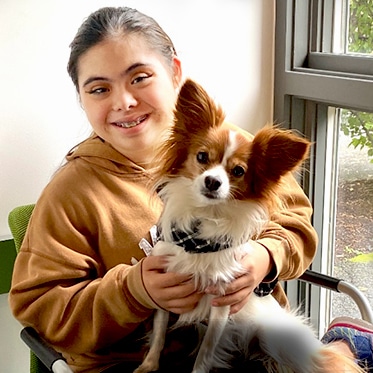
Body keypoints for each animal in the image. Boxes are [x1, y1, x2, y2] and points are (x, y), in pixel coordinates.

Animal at [134, 79, 364, 372]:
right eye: (202, 157)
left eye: (238, 171)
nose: (212, 181)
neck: (200, 236)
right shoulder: (164, 289)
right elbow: (159, 332)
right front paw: (148, 365)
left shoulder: (223, 302)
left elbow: (206, 351)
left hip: (274, 339)